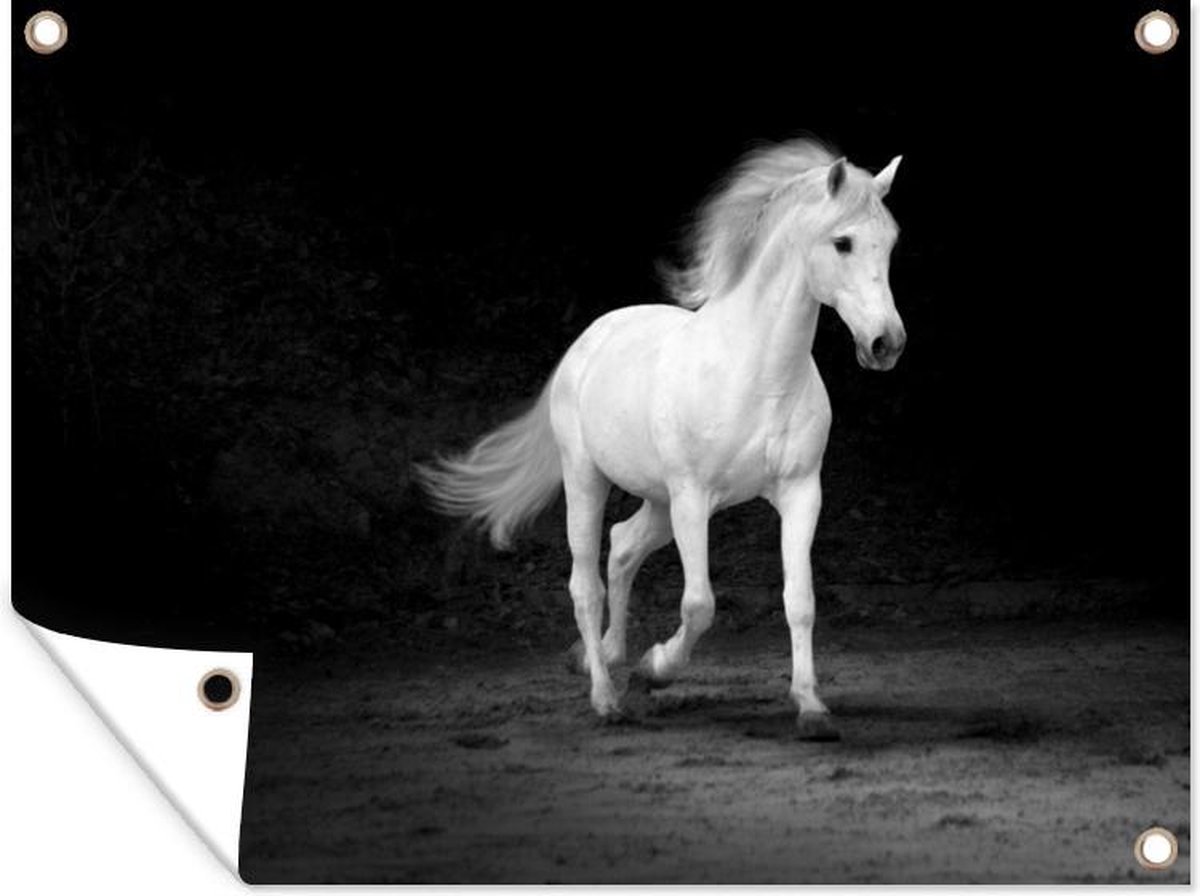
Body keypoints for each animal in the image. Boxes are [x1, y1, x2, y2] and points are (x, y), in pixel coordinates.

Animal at [416, 138, 905, 738]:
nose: (886, 343)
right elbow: (699, 603)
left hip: (657, 501)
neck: (756, 373)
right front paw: (656, 670)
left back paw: (608, 658)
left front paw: (811, 708)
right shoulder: (693, 498)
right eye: (843, 242)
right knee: (585, 583)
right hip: (589, 479)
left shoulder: (800, 493)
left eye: (891, 242)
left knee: (623, 546)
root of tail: (590, 339)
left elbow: (801, 599)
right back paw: (607, 697)